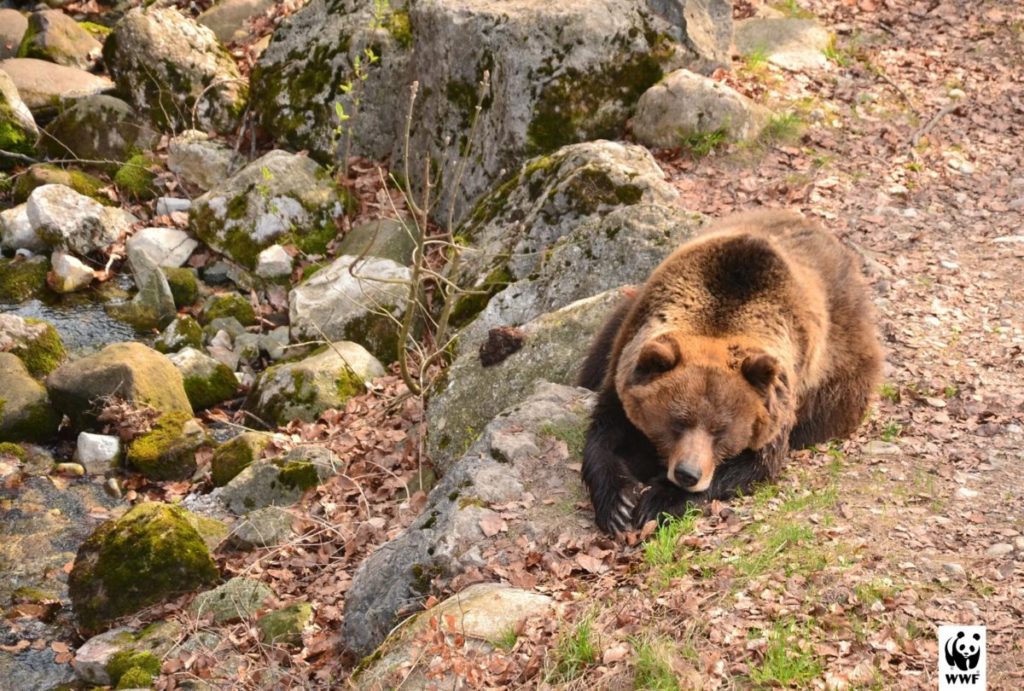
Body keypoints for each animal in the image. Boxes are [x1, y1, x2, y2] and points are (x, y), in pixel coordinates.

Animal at [578, 209, 883, 534]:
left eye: (720, 431)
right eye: (677, 422)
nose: (688, 474)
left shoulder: (780, 399)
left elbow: (753, 463)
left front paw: (658, 500)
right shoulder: (627, 355)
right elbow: (607, 433)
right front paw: (619, 504)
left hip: (840, 377)